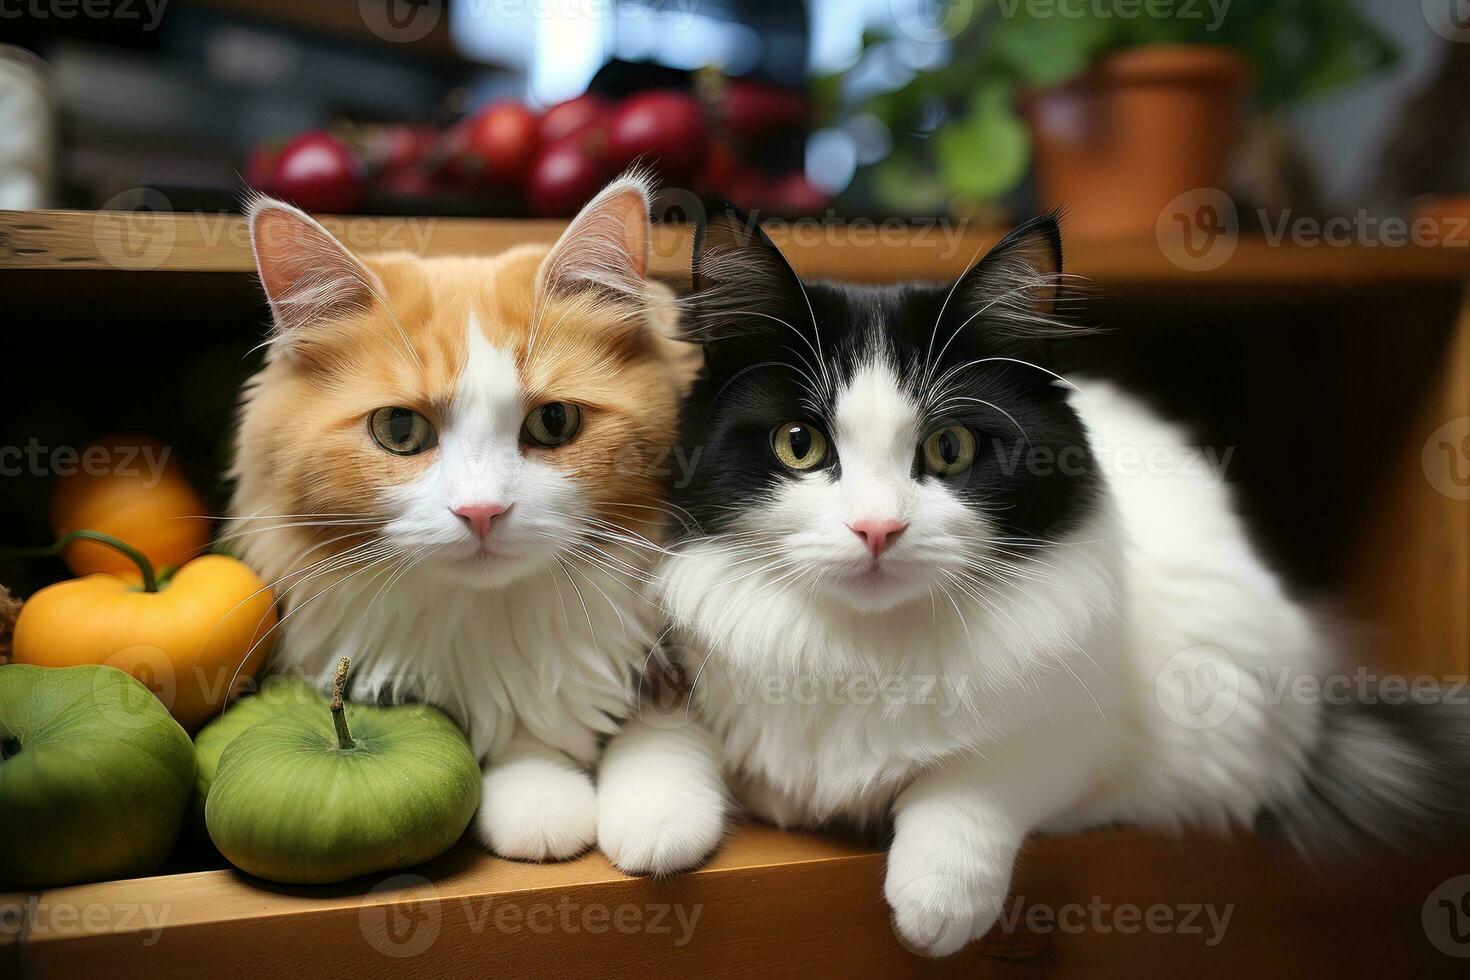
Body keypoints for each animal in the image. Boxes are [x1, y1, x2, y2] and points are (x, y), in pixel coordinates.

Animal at [230, 178, 729, 875]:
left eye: (554, 422)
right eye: (399, 430)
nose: (482, 511)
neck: (500, 618)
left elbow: (666, 731)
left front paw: (655, 819)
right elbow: (518, 747)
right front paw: (541, 802)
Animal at [611, 202, 1470, 952]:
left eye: (950, 449)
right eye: (800, 445)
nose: (878, 529)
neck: (861, 645)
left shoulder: (1075, 726)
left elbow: (972, 784)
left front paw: (936, 903)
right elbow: (666, 737)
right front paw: (655, 831)